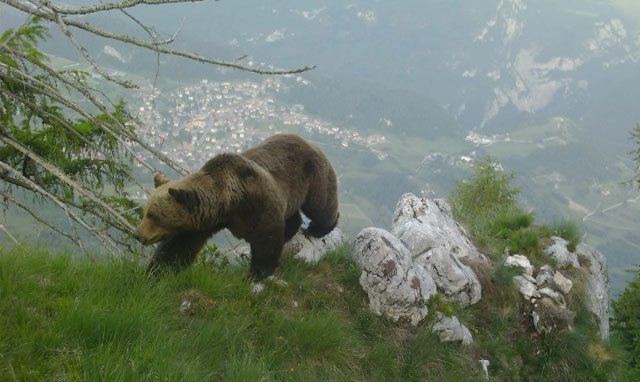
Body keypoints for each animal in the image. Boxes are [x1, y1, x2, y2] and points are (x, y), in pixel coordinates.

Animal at [132, 134, 338, 280]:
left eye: (153, 215)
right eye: (145, 212)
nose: (137, 234)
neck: (227, 203)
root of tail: (308, 141)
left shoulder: (257, 201)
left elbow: (267, 237)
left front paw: (256, 273)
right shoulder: (202, 222)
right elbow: (177, 248)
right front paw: (155, 272)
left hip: (311, 176)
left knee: (320, 204)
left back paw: (318, 228)